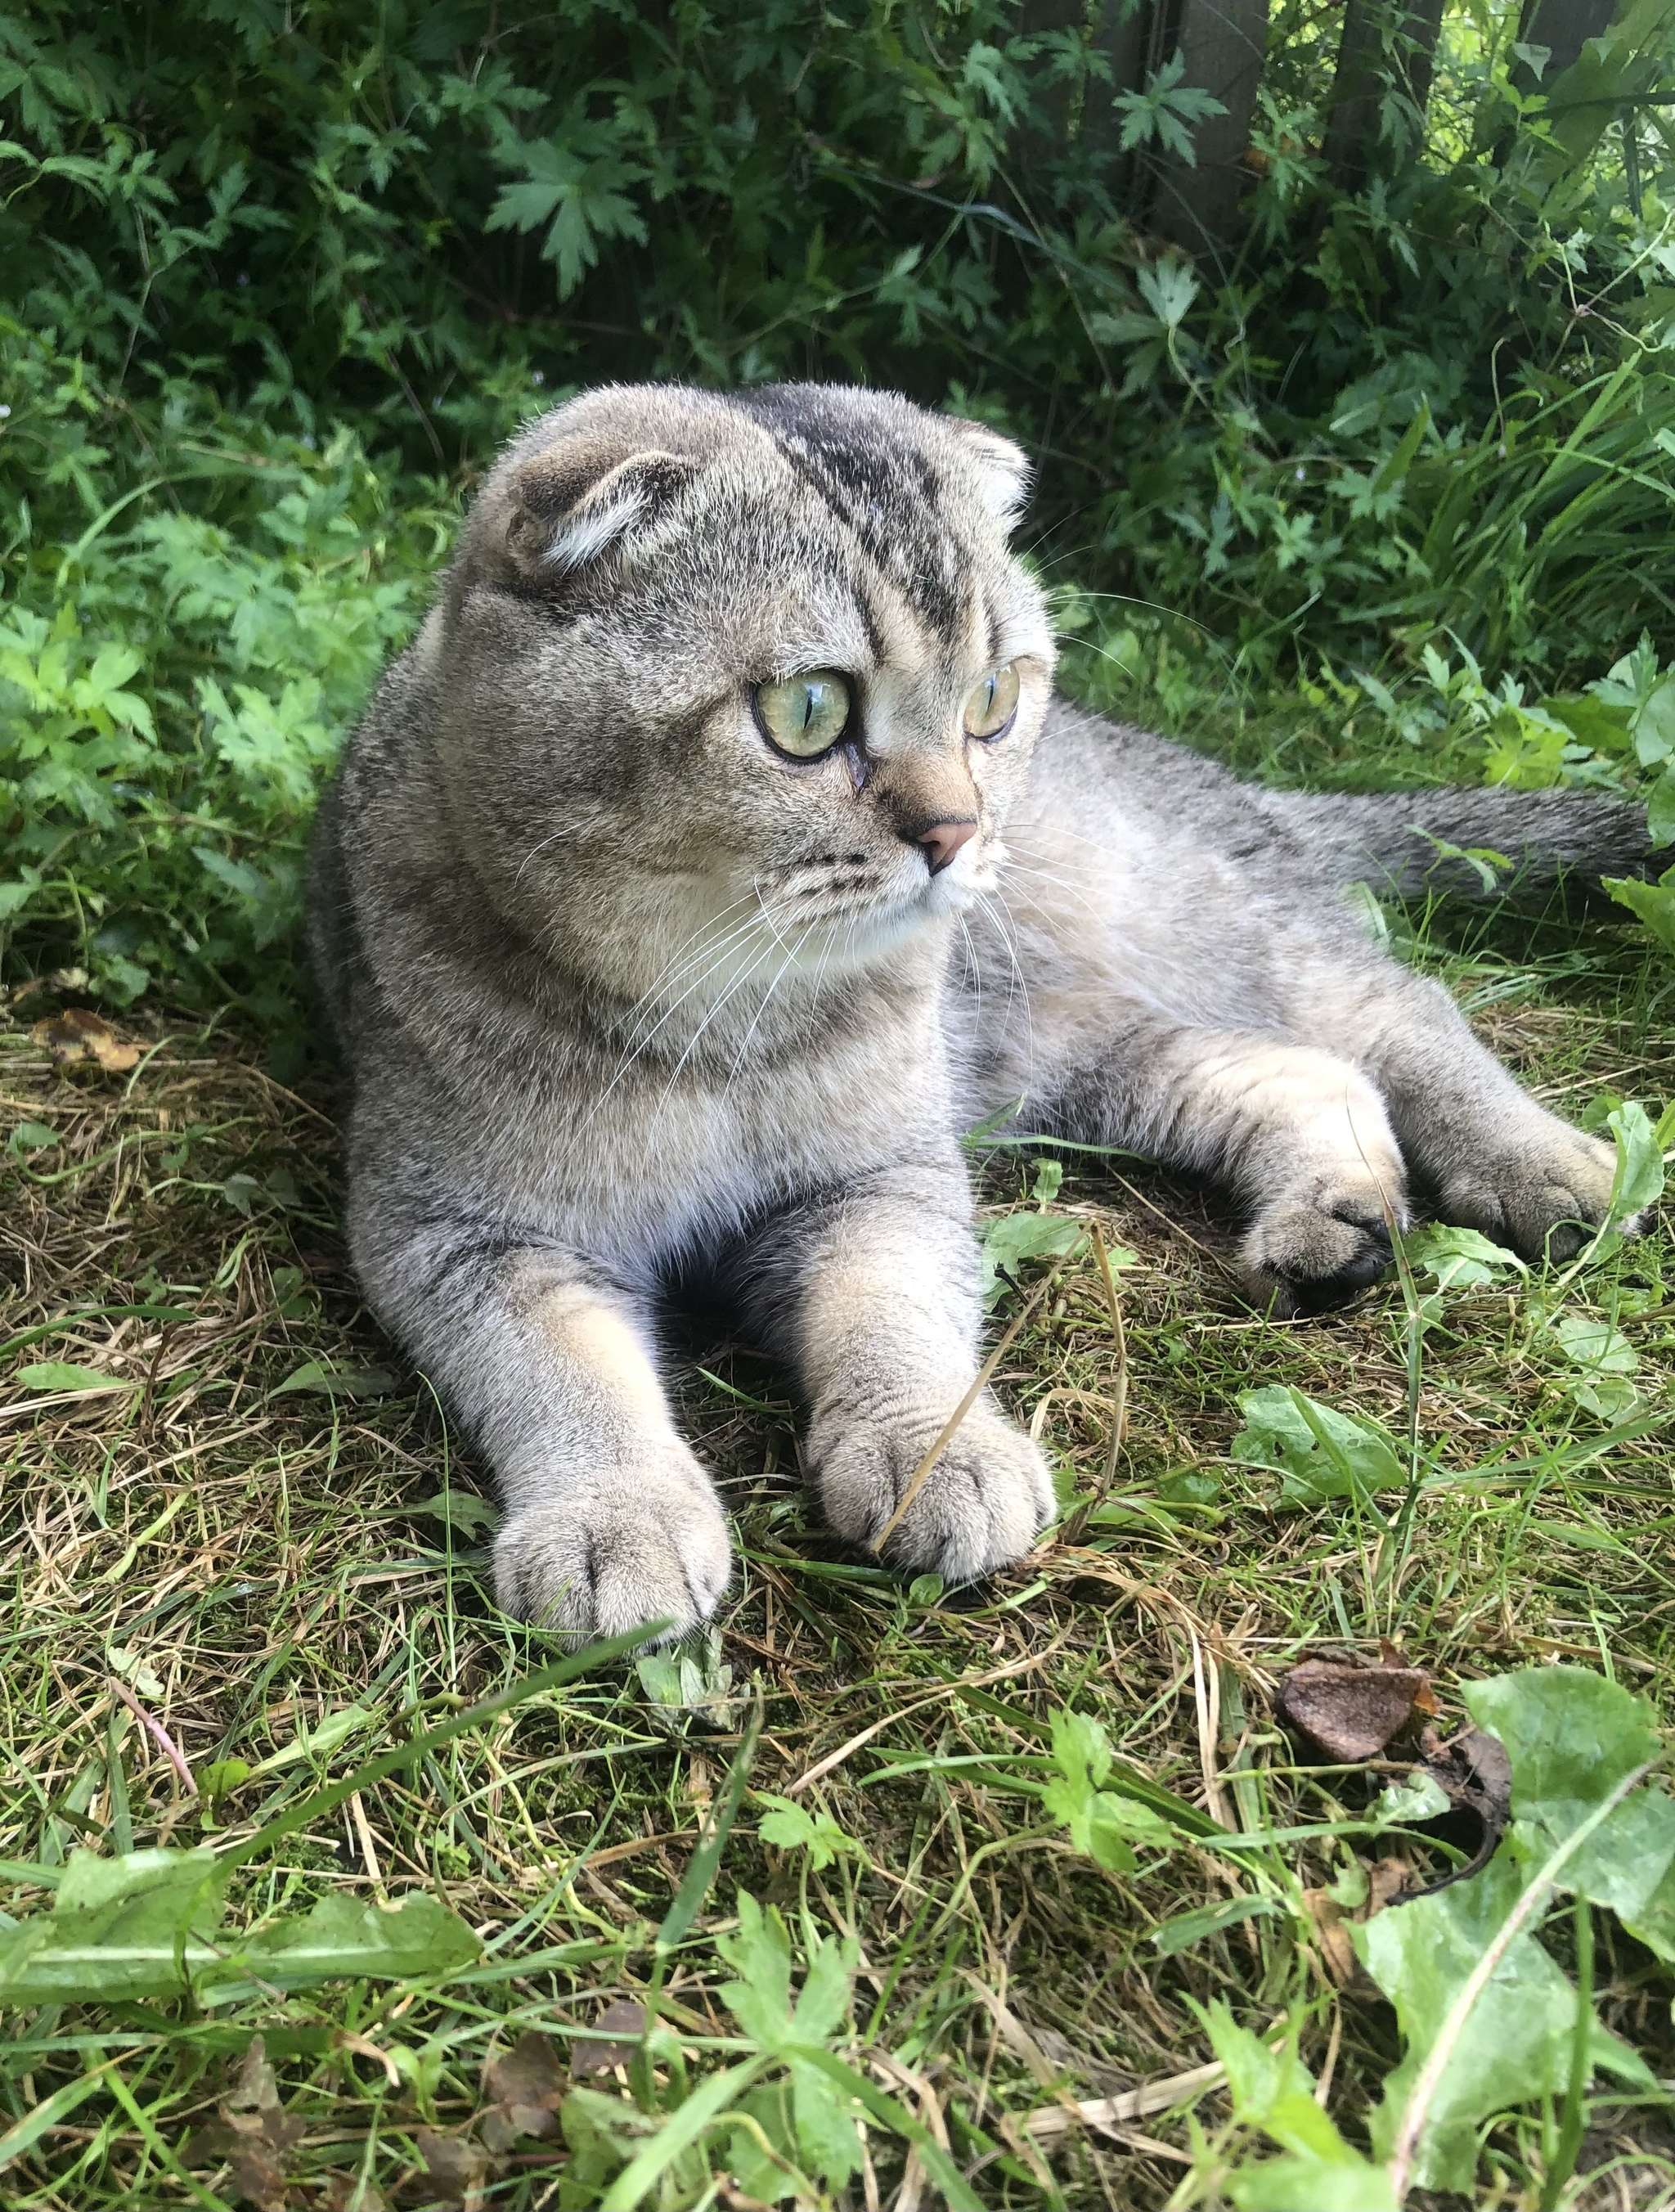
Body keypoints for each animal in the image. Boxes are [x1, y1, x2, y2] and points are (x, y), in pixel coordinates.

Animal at [308, 375, 1655, 1645]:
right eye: (806, 712)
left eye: (993, 699)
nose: (957, 833)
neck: (722, 1025)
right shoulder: (453, 1230)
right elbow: (564, 1370)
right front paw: (617, 1513)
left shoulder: (882, 1173)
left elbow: (894, 1309)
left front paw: (928, 1448)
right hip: (1071, 1058)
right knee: (1302, 1074)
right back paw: (1334, 1218)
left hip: (1191, 939)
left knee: (1396, 1009)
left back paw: (1546, 1166)